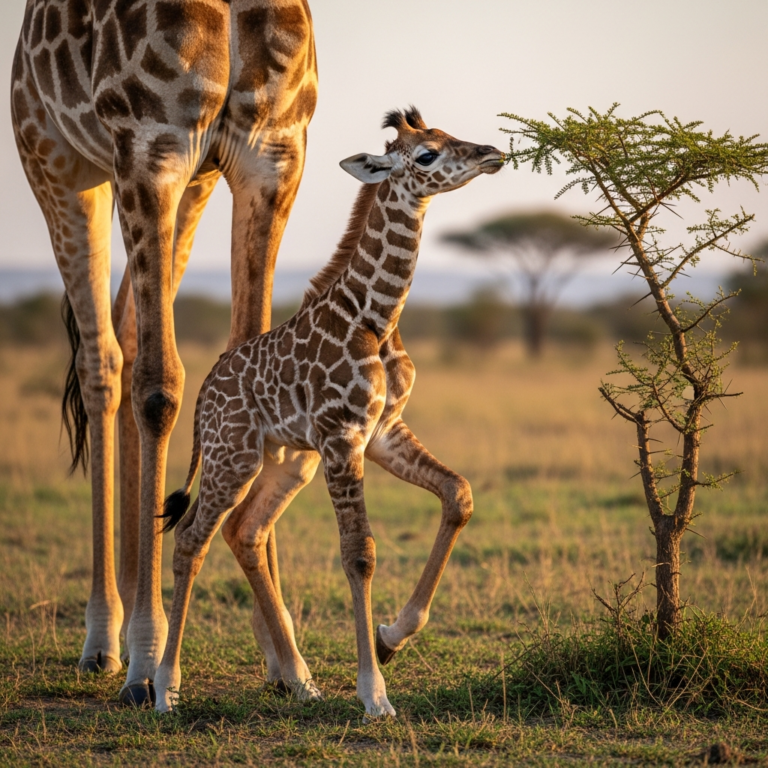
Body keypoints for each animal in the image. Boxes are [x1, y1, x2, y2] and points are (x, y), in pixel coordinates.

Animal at [11, 0, 318, 706]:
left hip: (187, 182)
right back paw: (105, 638)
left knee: (122, 337)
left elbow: (253, 373)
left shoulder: (273, 154)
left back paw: (123, 621)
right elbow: (159, 388)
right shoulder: (151, 145)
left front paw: (284, 656)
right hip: (58, 160)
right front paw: (150, 664)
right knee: (102, 361)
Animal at [154, 107, 504, 717]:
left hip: (289, 461)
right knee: (191, 539)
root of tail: (203, 396)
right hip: (233, 456)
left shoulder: (381, 431)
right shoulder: (344, 437)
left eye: (446, 134)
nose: (491, 154)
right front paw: (374, 693)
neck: (375, 316)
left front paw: (392, 638)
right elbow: (359, 553)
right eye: (427, 154)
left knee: (245, 532)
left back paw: (298, 679)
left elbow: (458, 493)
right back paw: (164, 688)